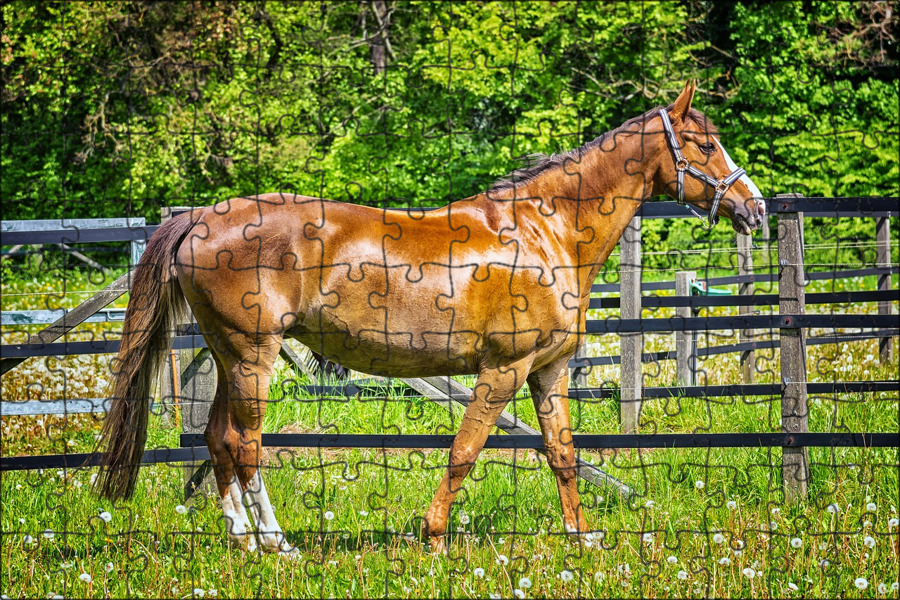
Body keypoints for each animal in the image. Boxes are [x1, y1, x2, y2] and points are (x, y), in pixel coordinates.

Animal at [95, 78, 764, 552]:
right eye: (705, 144)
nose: (754, 207)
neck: (545, 230)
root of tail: (200, 218)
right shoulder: (504, 370)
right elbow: (465, 450)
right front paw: (435, 534)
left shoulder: (548, 372)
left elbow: (563, 455)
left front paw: (581, 536)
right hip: (251, 356)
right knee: (245, 443)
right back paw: (277, 543)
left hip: (231, 357)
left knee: (217, 439)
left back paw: (244, 538)